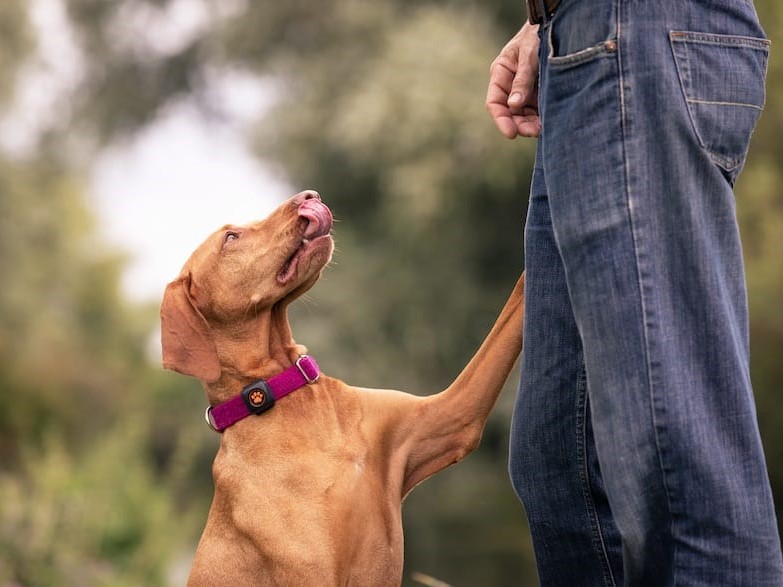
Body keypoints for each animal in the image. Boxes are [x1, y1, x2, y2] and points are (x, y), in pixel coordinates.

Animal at [159, 191, 528, 584]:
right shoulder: (314, 572)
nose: (309, 196)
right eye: (231, 238)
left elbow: (516, 300)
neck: (288, 393)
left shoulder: (451, 416)